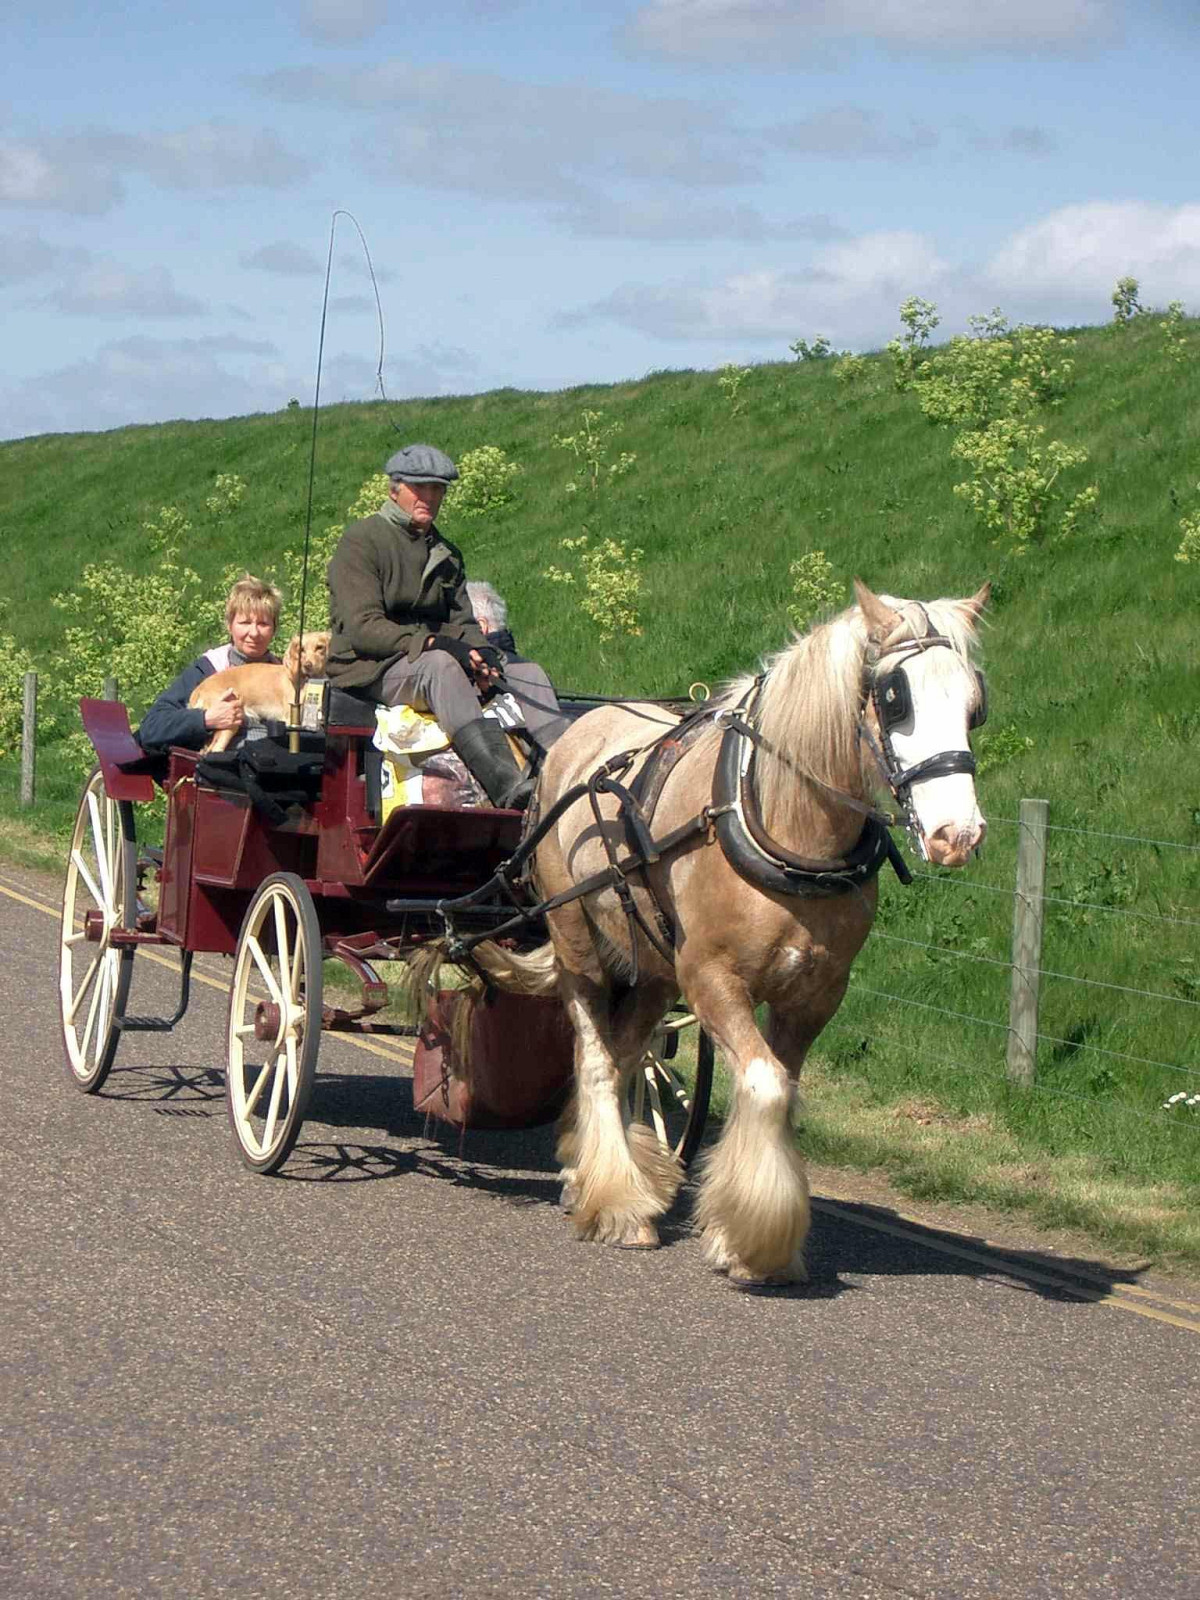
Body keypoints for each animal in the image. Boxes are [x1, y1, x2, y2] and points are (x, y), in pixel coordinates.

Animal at [189, 631, 330, 753]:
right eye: (301, 649)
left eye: (320, 647)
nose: (307, 665)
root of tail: (199, 689)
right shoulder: (291, 721)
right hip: (229, 722)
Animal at [465, 580, 990, 1286]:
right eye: (894, 698)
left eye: (974, 703)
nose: (957, 835)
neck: (781, 822)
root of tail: (570, 742)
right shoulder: (712, 978)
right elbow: (763, 1083)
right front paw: (753, 1238)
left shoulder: (816, 994)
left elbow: (778, 1089)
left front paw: (745, 1237)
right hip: (580, 946)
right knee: (597, 1060)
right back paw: (618, 1201)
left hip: (652, 969)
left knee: (629, 1056)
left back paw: (601, 1172)